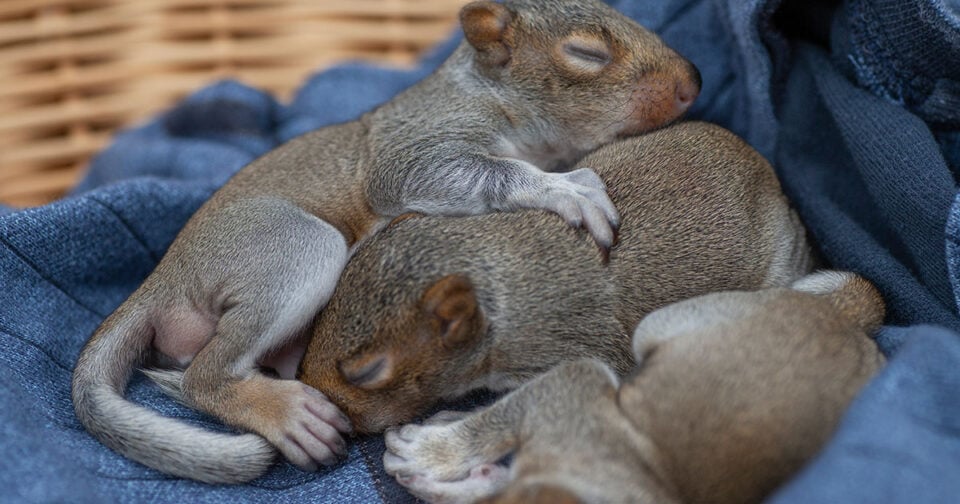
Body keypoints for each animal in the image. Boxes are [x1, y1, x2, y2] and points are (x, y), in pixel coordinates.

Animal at [71, 0, 702, 484]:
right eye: (587, 53)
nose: (693, 82)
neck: (484, 92)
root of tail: (163, 277)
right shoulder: (414, 145)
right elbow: (460, 172)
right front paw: (565, 188)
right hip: (292, 246)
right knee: (205, 375)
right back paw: (288, 414)